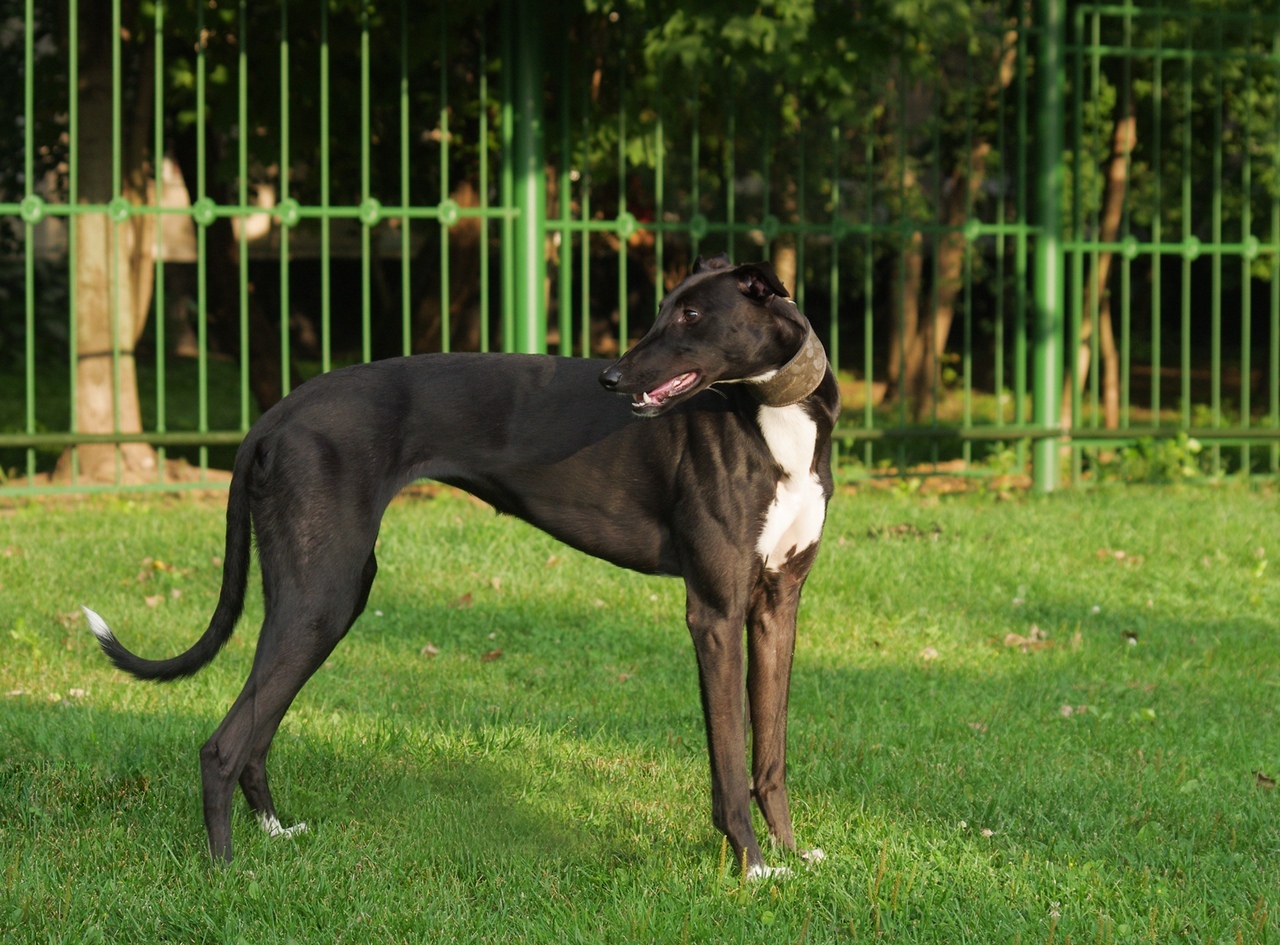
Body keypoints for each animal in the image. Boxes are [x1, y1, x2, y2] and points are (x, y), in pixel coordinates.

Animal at [80, 252, 839, 875]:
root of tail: (280, 410)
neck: (776, 418)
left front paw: (791, 853)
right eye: (664, 306)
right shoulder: (713, 611)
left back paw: (274, 832)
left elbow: (769, 752)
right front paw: (751, 866)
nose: (610, 376)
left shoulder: (777, 604)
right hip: (321, 594)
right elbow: (728, 757)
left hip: (325, 598)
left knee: (256, 732)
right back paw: (225, 871)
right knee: (223, 743)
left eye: (691, 313)